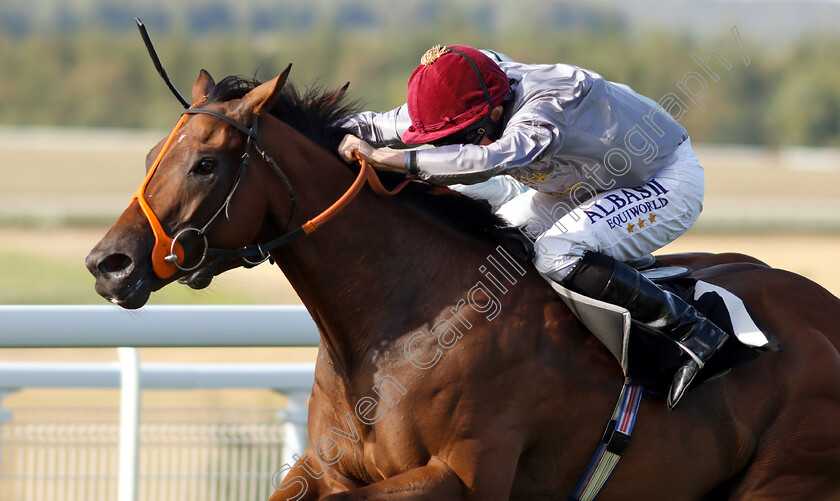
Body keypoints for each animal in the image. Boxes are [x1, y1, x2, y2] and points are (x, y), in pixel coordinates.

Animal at [87, 67, 840, 500]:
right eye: (153, 155)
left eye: (206, 164)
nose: (108, 263)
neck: (407, 321)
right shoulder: (326, 465)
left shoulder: (464, 473)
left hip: (784, 479)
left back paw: (701, 338)